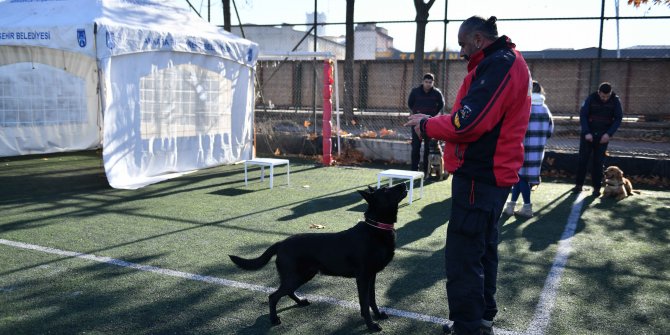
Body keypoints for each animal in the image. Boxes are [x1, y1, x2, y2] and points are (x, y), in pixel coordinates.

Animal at [230, 184, 410, 334]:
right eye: (386, 190)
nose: (404, 184)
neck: (375, 228)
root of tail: (281, 243)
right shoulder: (363, 278)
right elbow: (365, 304)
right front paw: (371, 325)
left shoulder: (371, 276)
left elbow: (372, 300)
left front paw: (378, 315)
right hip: (296, 276)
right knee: (273, 296)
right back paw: (274, 319)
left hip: (304, 275)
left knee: (287, 292)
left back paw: (300, 302)